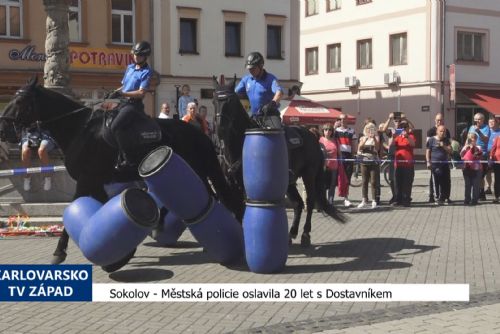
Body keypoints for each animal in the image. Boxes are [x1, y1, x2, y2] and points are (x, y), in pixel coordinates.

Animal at [0, 77, 245, 268]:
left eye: (20, 100)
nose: (4, 129)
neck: (80, 130)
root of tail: (201, 133)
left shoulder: (86, 180)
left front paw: (59, 253)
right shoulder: (96, 182)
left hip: (199, 170)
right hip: (196, 172)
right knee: (207, 198)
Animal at [210, 77, 344, 247]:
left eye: (230, 101)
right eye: (214, 100)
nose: (220, 129)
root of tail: (313, 137)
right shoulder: (233, 185)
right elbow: (237, 211)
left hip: (309, 175)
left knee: (310, 201)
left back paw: (305, 233)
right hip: (289, 182)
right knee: (298, 203)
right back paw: (291, 233)